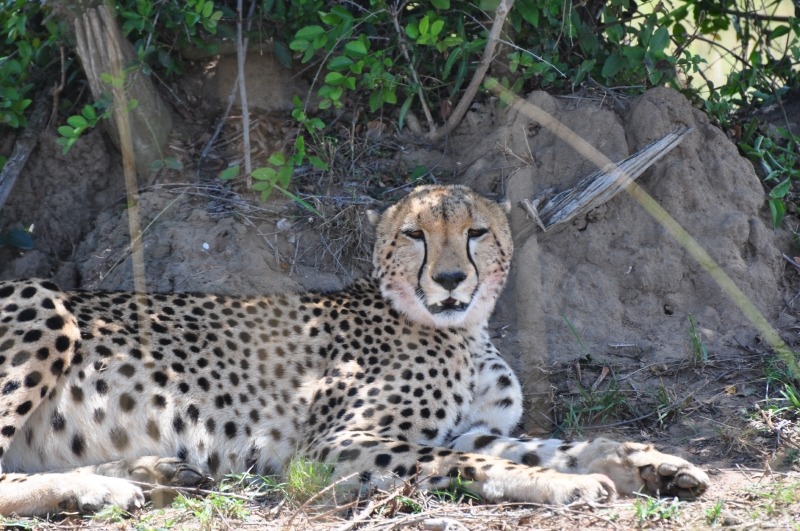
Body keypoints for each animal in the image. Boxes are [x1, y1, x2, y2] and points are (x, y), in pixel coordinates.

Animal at [0, 185, 709, 516]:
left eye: (476, 232)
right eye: (415, 235)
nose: (450, 280)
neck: (462, 331)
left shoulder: (476, 428)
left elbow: (549, 445)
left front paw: (650, 463)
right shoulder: (333, 446)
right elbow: (464, 464)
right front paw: (567, 485)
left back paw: (150, 474)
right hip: (42, 302)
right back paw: (101, 490)